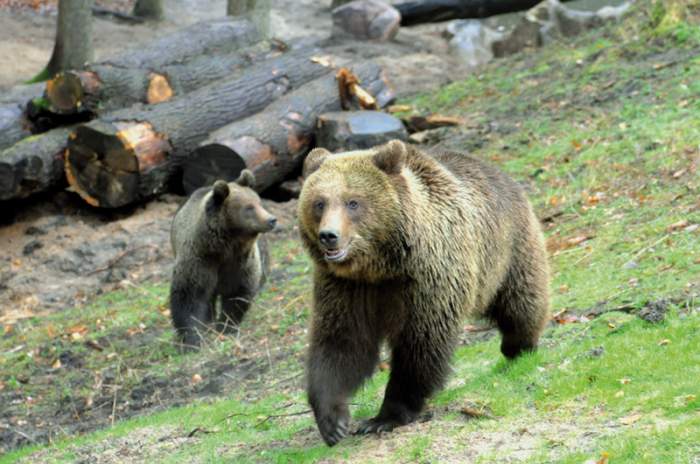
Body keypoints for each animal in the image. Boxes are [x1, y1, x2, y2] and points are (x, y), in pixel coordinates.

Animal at [170, 170, 276, 348]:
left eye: (259, 202)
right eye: (249, 207)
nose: (272, 220)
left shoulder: (241, 263)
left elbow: (238, 293)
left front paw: (225, 327)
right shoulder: (200, 260)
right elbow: (189, 297)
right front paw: (194, 338)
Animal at [298, 140, 548, 446]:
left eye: (353, 202)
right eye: (319, 202)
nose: (329, 236)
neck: (382, 266)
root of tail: (499, 171)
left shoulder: (428, 277)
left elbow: (421, 344)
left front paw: (385, 417)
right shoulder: (346, 287)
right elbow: (341, 343)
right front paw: (333, 421)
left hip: (508, 249)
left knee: (521, 301)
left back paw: (519, 346)